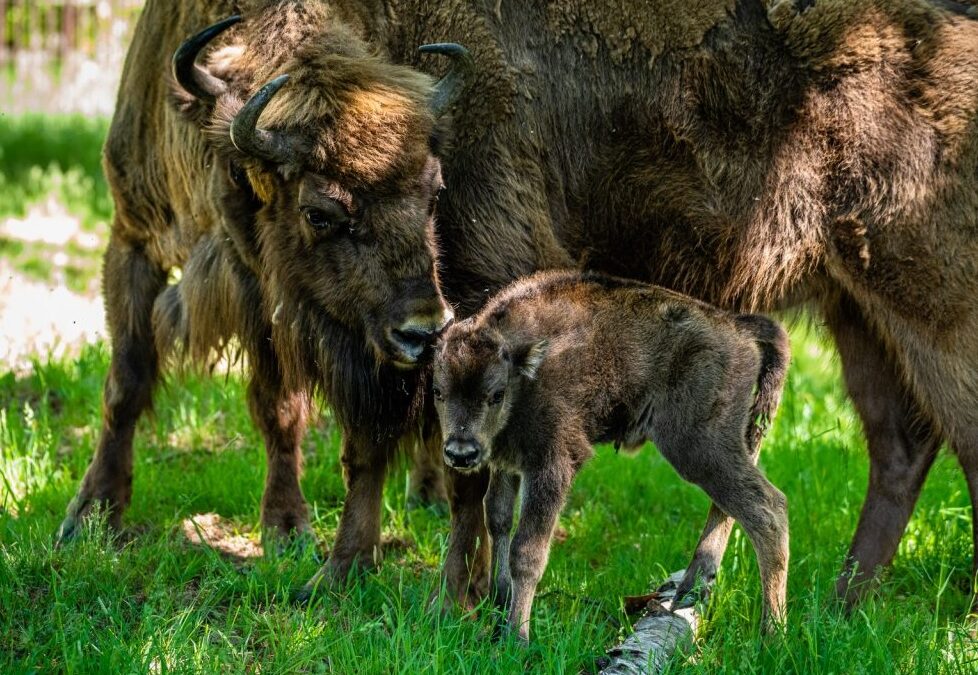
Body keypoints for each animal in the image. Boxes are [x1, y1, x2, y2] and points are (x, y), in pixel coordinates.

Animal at [434, 270, 792, 640]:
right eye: (438, 391)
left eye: (496, 394)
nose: (461, 453)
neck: (525, 370)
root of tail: (738, 327)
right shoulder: (507, 464)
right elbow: (498, 519)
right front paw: (499, 601)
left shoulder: (553, 465)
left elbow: (527, 551)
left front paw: (516, 636)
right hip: (724, 445)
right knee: (732, 506)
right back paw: (690, 592)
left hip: (698, 445)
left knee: (767, 509)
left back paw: (772, 633)